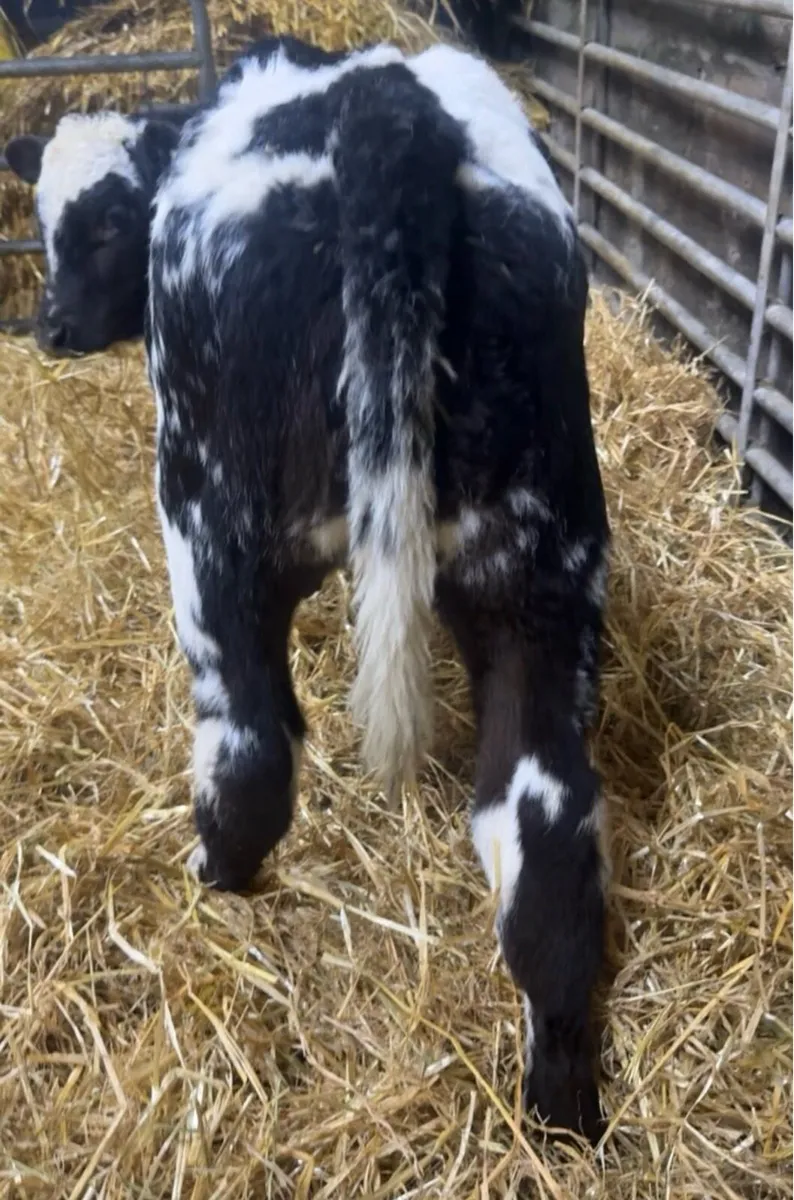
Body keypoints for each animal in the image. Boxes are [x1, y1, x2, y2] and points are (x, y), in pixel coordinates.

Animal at [147, 40, 611, 1145]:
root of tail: (386, 109)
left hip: (208, 521)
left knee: (250, 756)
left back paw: (216, 887)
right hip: (543, 564)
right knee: (543, 834)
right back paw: (558, 1107)